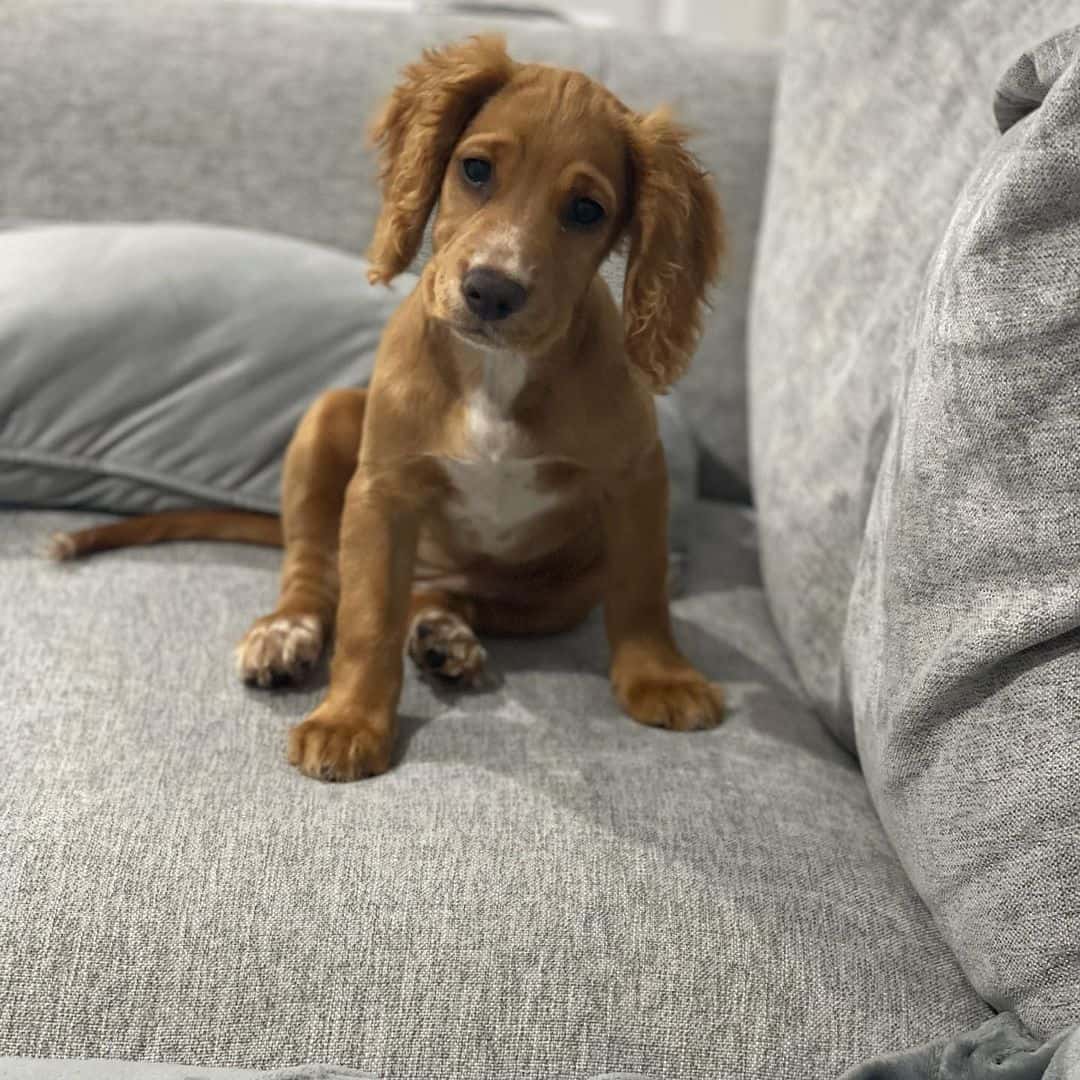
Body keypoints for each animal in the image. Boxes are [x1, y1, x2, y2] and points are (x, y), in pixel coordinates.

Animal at [52, 38, 725, 781]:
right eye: (476, 169)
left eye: (586, 210)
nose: (492, 290)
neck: (495, 373)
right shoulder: (383, 492)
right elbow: (368, 617)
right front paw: (349, 721)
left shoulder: (636, 477)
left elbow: (641, 589)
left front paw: (660, 676)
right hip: (327, 420)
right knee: (315, 571)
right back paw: (287, 632)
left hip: (563, 589)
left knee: (447, 596)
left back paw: (443, 631)